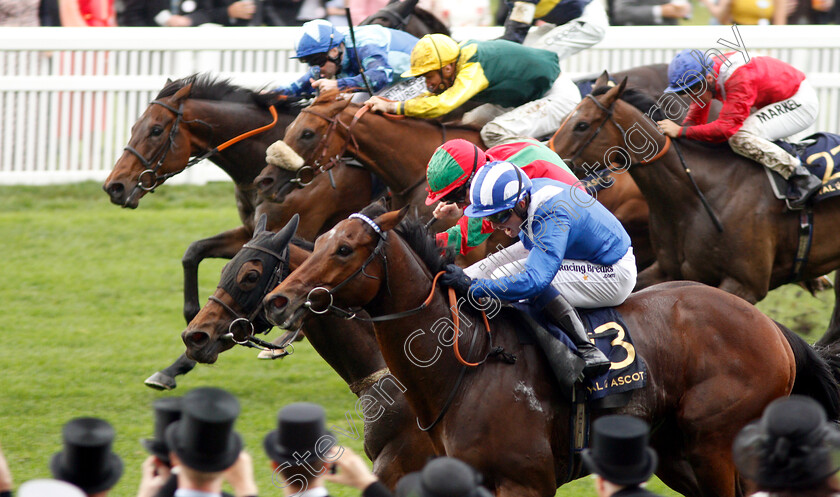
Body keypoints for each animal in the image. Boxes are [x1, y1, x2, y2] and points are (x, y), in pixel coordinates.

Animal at [262, 202, 840, 496]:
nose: (277, 300)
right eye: (316, 243)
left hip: (713, 443)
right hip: (680, 453)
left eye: (343, 249)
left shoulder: (525, 483)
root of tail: (771, 328)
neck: (464, 366)